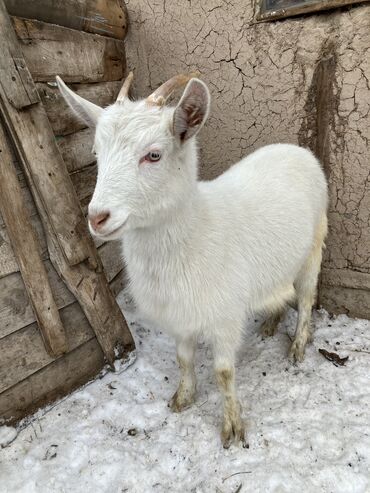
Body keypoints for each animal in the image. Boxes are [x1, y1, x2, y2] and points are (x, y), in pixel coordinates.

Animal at [56, 72, 328, 446]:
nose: (97, 217)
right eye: (96, 153)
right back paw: (270, 323)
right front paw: (182, 399)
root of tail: (296, 149)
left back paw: (298, 347)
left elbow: (224, 372)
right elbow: (183, 359)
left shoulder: (225, 317)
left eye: (153, 155)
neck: (196, 234)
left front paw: (232, 428)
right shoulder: (180, 316)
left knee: (305, 299)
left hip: (314, 247)